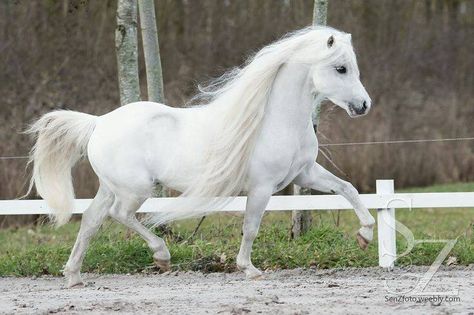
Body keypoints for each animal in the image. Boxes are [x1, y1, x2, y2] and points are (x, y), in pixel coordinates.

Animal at [25, 26, 374, 288]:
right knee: (120, 215)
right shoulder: (262, 187)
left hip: (111, 187)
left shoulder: (305, 174)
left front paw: (365, 235)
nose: (364, 106)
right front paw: (249, 269)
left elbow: (347, 189)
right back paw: (161, 255)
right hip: (135, 189)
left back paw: (73, 276)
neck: (274, 120)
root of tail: (99, 123)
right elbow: (251, 227)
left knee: (91, 221)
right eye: (340, 68)